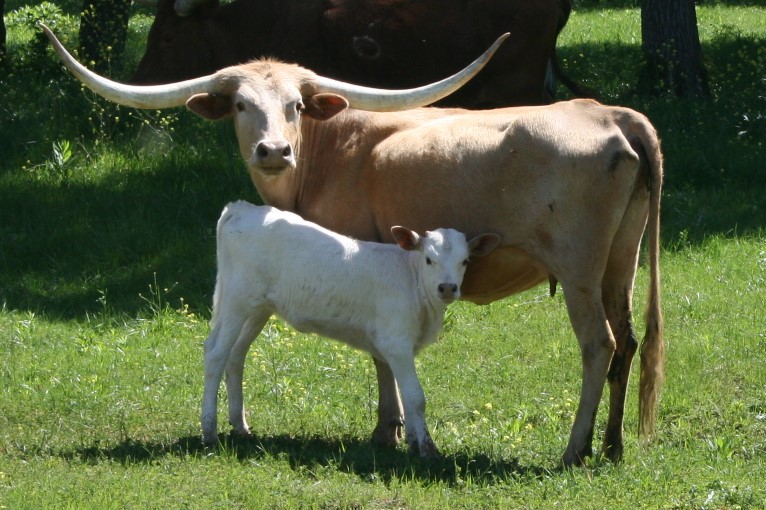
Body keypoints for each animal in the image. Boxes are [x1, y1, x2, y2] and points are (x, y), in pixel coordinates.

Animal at [201, 201, 500, 456]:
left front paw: (414, 443)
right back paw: (209, 432)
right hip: (238, 300)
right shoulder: (396, 342)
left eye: (465, 261)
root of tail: (243, 208)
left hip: (258, 308)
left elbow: (405, 394)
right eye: (429, 259)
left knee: (236, 355)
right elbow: (415, 397)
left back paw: (240, 426)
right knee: (216, 354)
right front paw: (428, 450)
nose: (447, 288)